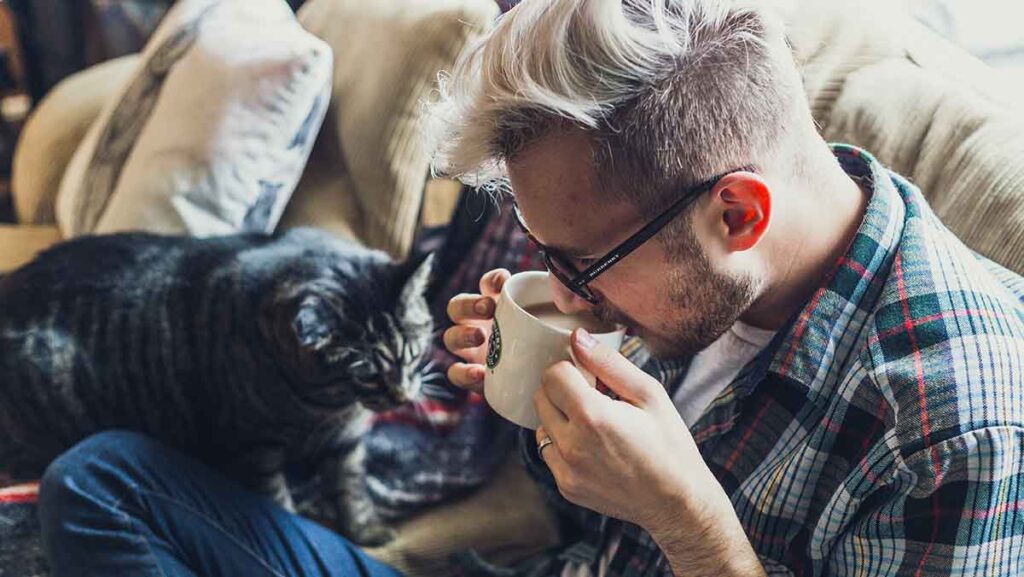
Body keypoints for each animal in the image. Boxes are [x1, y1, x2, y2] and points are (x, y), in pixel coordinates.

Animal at [0, 226, 434, 545]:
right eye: (366, 374)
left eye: (413, 353)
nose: (401, 395)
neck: (324, 407)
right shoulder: (253, 447)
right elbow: (277, 500)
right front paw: (295, 527)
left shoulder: (346, 442)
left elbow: (352, 488)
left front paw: (365, 529)